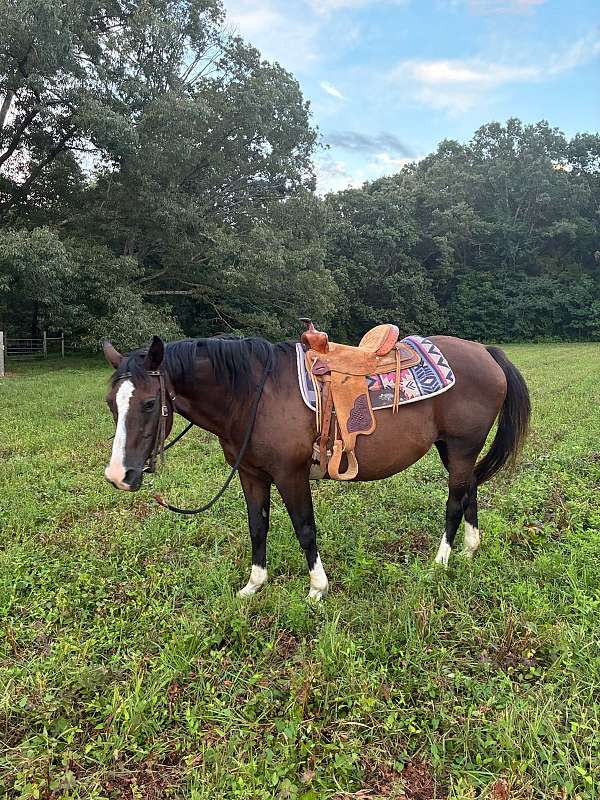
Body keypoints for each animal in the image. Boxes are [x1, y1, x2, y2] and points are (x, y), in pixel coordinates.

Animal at [103, 333, 530, 599]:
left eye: (149, 403)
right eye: (111, 403)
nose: (118, 476)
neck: (254, 394)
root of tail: (484, 351)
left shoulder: (290, 475)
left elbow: (304, 528)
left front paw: (317, 589)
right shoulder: (251, 473)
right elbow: (257, 526)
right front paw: (254, 585)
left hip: (461, 446)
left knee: (455, 500)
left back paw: (440, 561)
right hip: (453, 449)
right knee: (470, 488)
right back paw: (469, 551)